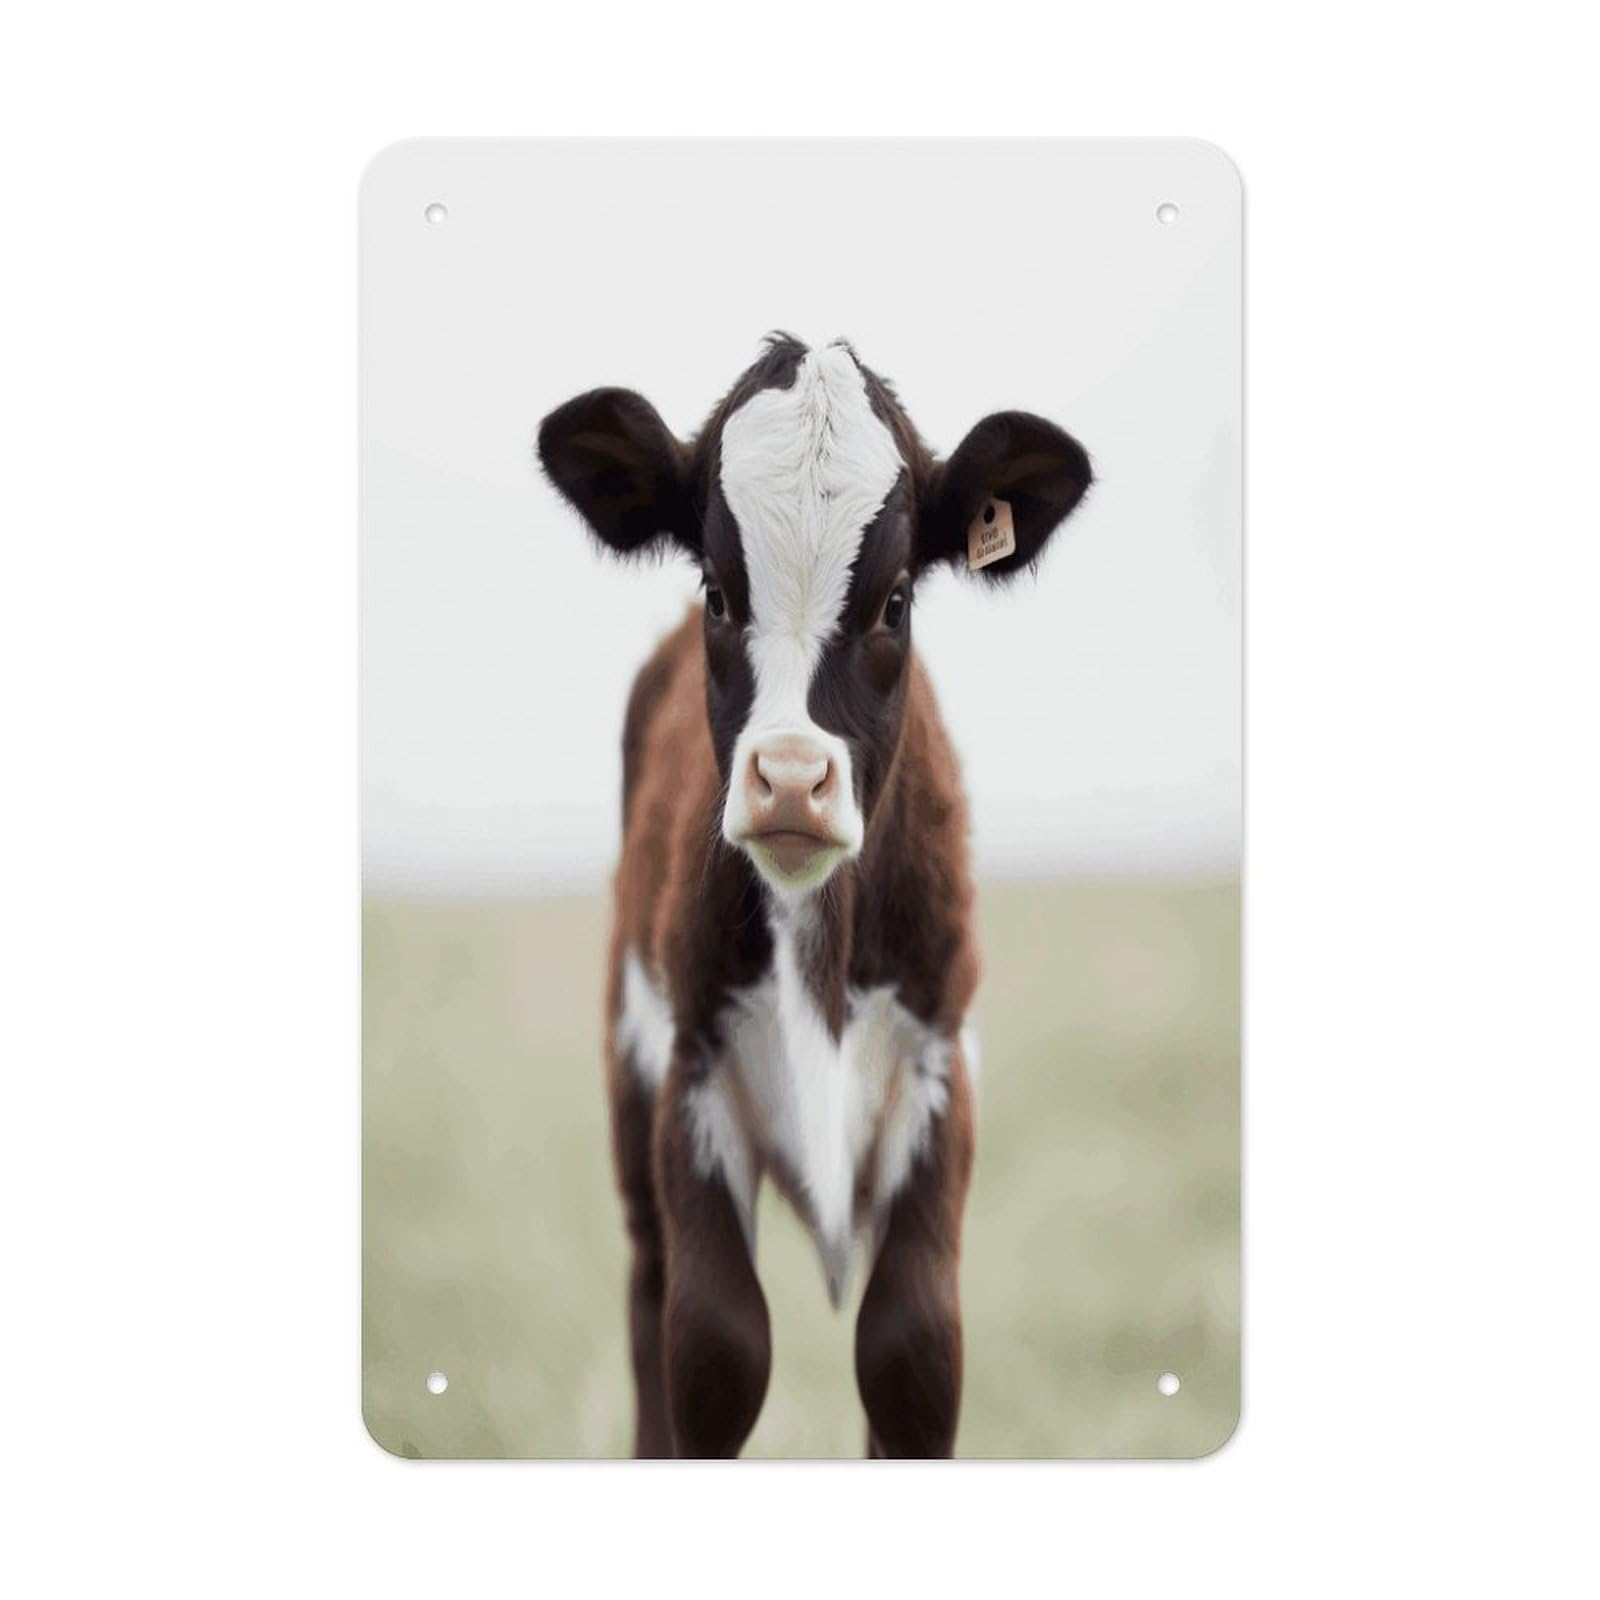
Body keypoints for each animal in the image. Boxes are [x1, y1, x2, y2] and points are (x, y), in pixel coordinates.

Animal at [536, 335, 1092, 1458]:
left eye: (895, 602)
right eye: (717, 592)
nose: (791, 779)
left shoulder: (937, 1071)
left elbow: (910, 1347)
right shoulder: (692, 1077)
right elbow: (713, 1344)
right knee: (649, 1295)